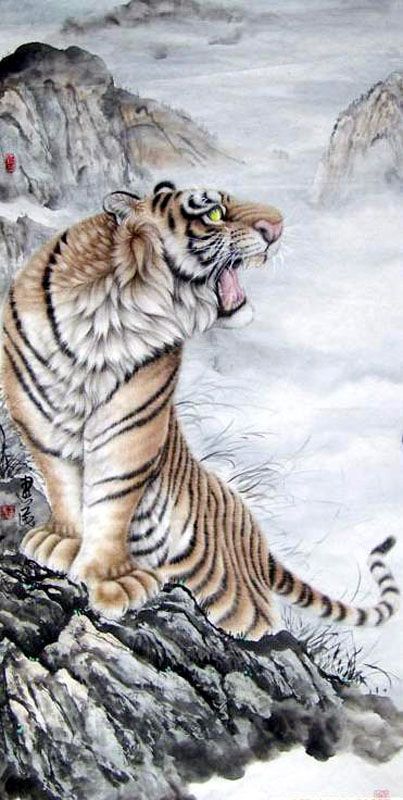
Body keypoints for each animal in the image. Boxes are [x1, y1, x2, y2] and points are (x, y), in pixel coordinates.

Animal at [0, 180, 399, 639]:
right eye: (213, 214)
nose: (278, 226)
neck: (106, 317)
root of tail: (257, 540)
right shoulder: (36, 412)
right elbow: (62, 480)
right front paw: (64, 541)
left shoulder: (131, 421)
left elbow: (112, 496)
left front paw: (111, 578)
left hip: (235, 599)